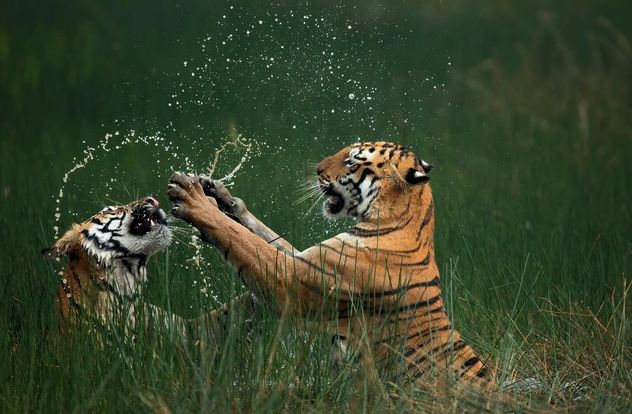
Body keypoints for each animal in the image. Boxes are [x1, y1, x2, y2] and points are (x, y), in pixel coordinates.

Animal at [165, 142, 486, 384]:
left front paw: (193, 199)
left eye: (352, 161)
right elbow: (261, 235)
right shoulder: (307, 260)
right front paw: (218, 193)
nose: (317, 169)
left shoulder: (290, 279)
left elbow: (242, 239)